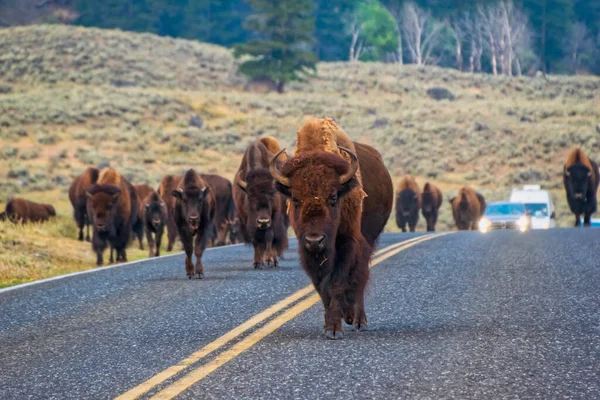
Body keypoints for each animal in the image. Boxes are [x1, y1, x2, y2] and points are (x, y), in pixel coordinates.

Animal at [232, 138, 288, 268]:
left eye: (272, 194)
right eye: (249, 196)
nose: (263, 221)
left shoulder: (274, 215)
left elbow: (270, 236)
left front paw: (269, 260)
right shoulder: (246, 218)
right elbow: (255, 239)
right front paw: (257, 262)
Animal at [272, 117, 394, 340]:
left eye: (334, 197)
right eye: (295, 198)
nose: (315, 240)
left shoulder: (347, 243)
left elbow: (337, 283)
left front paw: (335, 329)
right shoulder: (307, 252)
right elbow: (322, 288)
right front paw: (329, 324)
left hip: (368, 241)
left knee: (360, 277)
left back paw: (358, 320)